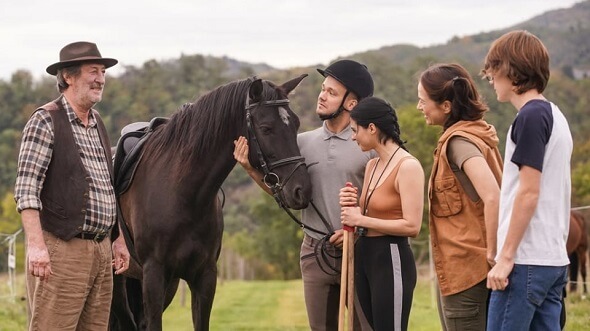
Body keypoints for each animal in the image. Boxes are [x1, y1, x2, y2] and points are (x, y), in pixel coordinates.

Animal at [111, 75, 314, 331]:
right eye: (266, 128)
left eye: (295, 124)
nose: (302, 190)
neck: (181, 193)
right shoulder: (154, 275)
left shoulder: (204, 276)